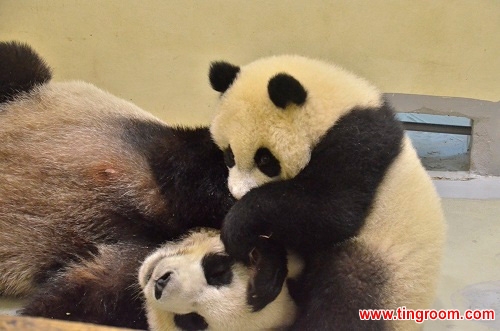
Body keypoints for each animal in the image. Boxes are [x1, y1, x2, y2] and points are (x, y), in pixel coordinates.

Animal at [0, 42, 235, 330]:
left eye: (194, 319)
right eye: (218, 268)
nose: (163, 283)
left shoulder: (132, 270)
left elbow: (82, 299)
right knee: (18, 62)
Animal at [207, 55, 446, 330]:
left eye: (265, 160)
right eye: (229, 155)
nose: (237, 194)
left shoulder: (357, 144)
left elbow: (334, 211)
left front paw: (237, 226)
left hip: (386, 268)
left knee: (345, 299)